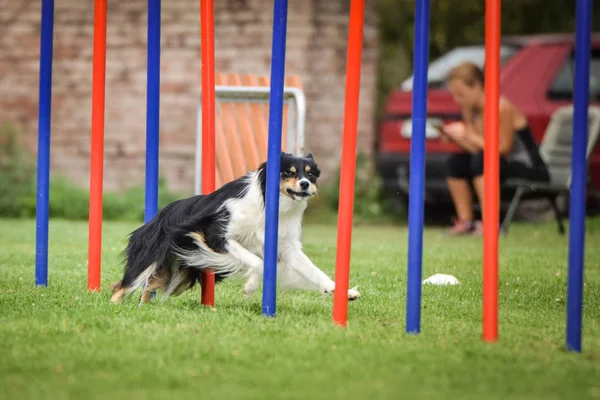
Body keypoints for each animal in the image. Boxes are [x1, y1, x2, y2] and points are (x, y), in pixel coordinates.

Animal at [110, 152, 358, 304]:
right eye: (289, 172)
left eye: (311, 174)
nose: (305, 185)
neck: (271, 203)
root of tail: (157, 217)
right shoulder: (218, 236)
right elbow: (257, 262)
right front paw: (250, 286)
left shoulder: (286, 247)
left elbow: (313, 270)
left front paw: (341, 291)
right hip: (150, 256)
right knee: (122, 285)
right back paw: (114, 307)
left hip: (179, 275)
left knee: (150, 285)